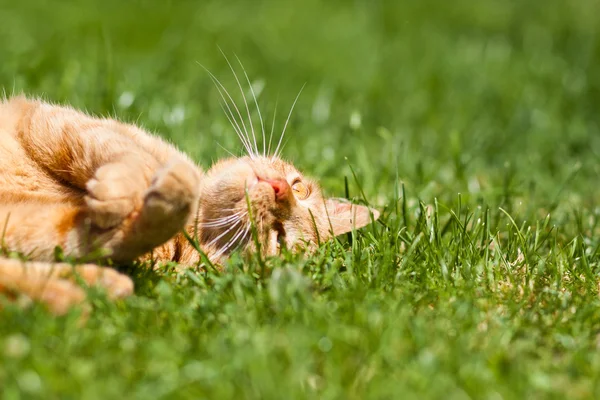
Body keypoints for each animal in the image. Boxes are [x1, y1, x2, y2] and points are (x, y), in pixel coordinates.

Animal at [0, 95, 378, 314]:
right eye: (300, 188)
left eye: (279, 237)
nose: (280, 188)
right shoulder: (45, 119)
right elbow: (129, 153)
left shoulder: (29, 224)